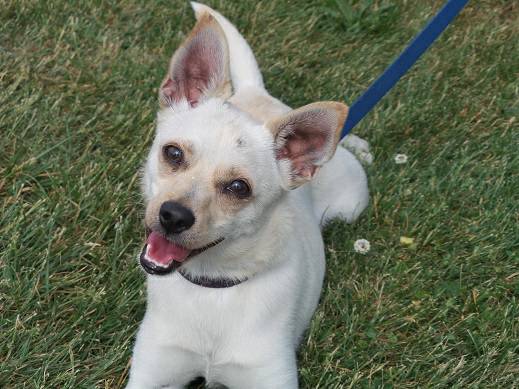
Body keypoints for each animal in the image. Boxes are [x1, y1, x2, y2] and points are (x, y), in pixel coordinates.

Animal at [126, 3, 370, 388]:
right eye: (173, 153)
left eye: (239, 188)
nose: (173, 215)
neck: (213, 289)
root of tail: (261, 96)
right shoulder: (152, 372)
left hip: (352, 202)